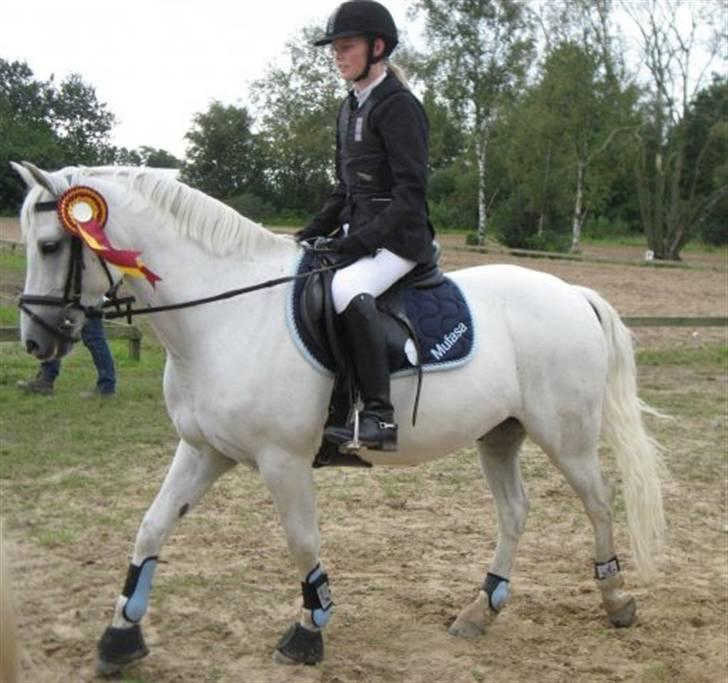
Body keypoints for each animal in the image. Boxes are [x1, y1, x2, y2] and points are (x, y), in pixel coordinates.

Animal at [11, 161, 665, 672]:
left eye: (50, 246)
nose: (36, 342)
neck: (227, 315)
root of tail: (573, 292)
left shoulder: (283, 459)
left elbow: (302, 541)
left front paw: (308, 632)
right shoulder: (204, 450)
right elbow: (151, 527)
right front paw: (120, 636)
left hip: (566, 435)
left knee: (598, 501)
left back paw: (616, 599)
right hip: (499, 435)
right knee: (515, 511)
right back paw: (480, 610)